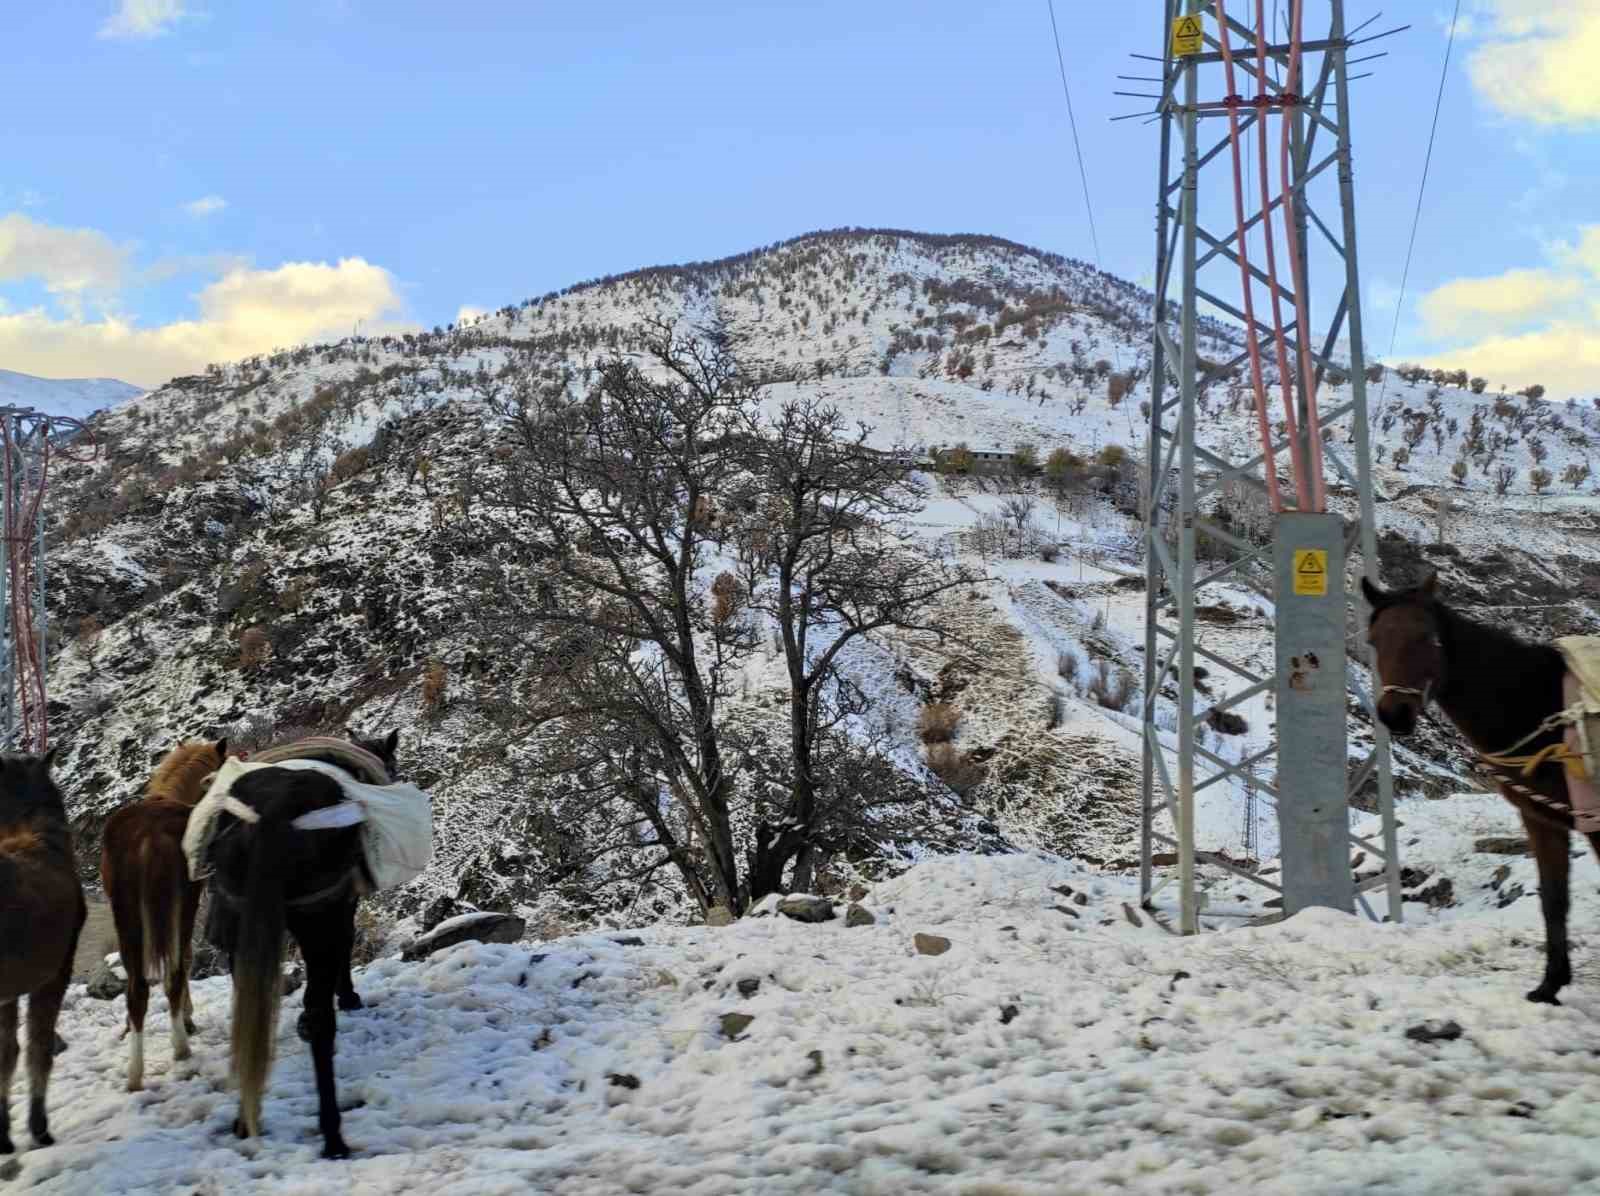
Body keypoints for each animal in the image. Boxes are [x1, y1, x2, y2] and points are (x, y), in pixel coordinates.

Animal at [99, 738, 228, 1093]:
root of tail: (148, 837)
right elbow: (186, 958)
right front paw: (188, 1016)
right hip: (177, 910)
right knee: (173, 973)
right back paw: (181, 1048)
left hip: (126, 917)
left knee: (137, 990)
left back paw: (134, 1073)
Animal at [206, 729, 400, 1157]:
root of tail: (278, 809)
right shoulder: (342, 905)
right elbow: (345, 949)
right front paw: (349, 997)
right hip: (317, 916)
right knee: (320, 1016)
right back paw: (333, 1136)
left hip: (241, 921)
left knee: (249, 1010)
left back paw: (245, 1117)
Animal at [1363, 575, 1600, 1004]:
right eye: (1373, 640)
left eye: (1429, 638)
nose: (1395, 715)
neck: (1544, 709)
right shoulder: (1543, 820)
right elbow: (1554, 899)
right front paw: (1549, 986)